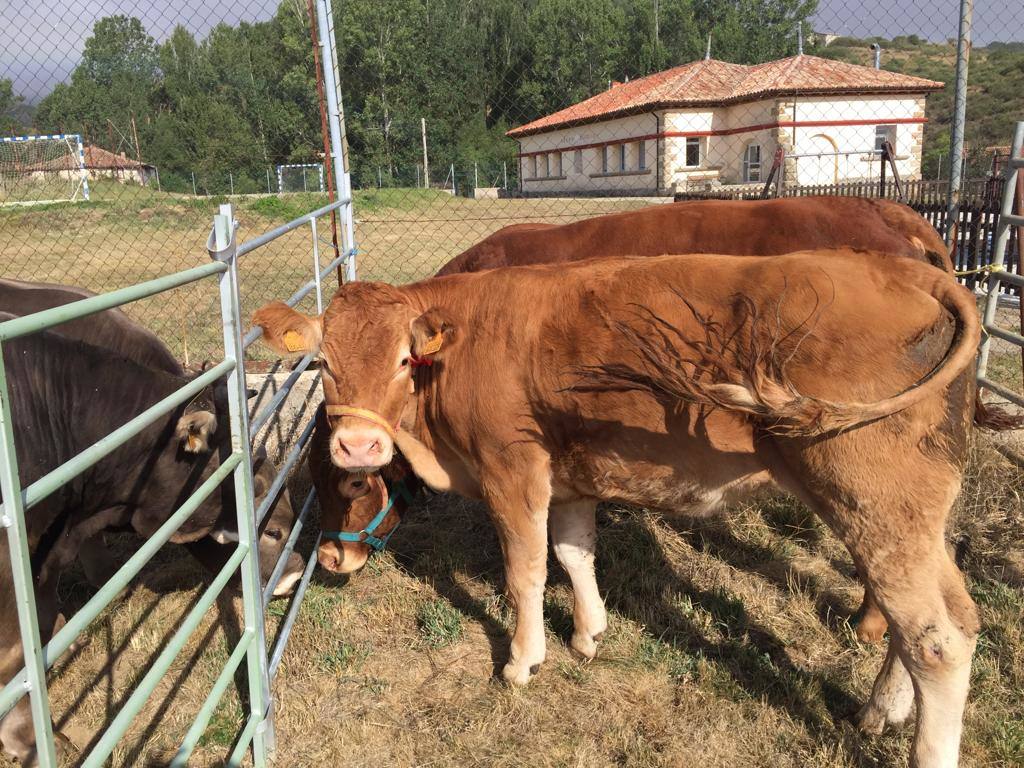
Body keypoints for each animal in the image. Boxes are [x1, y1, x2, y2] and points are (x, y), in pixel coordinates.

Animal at [251, 250, 978, 768]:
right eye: (324, 362)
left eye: (405, 358)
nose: (357, 443)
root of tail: (901, 267)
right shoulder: (569, 481)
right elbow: (574, 554)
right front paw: (588, 632)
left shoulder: (513, 472)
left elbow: (525, 572)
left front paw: (522, 660)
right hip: (912, 515)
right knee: (948, 615)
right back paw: (882, 708)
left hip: (875, 502)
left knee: (936, 638)